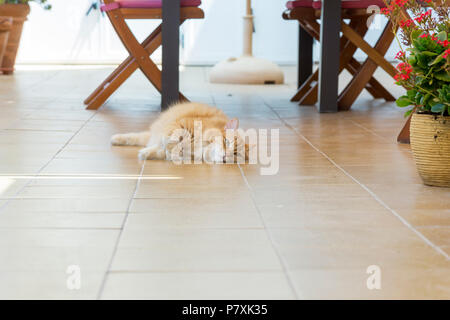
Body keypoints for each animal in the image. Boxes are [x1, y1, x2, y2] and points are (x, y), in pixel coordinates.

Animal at [110, 102, 248, 162]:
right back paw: (115, 139)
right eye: (226, 142)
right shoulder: (179, 125)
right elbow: (171, 141)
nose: (225, 156)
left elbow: (163, 151)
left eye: (235, 154)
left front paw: (147, 153)